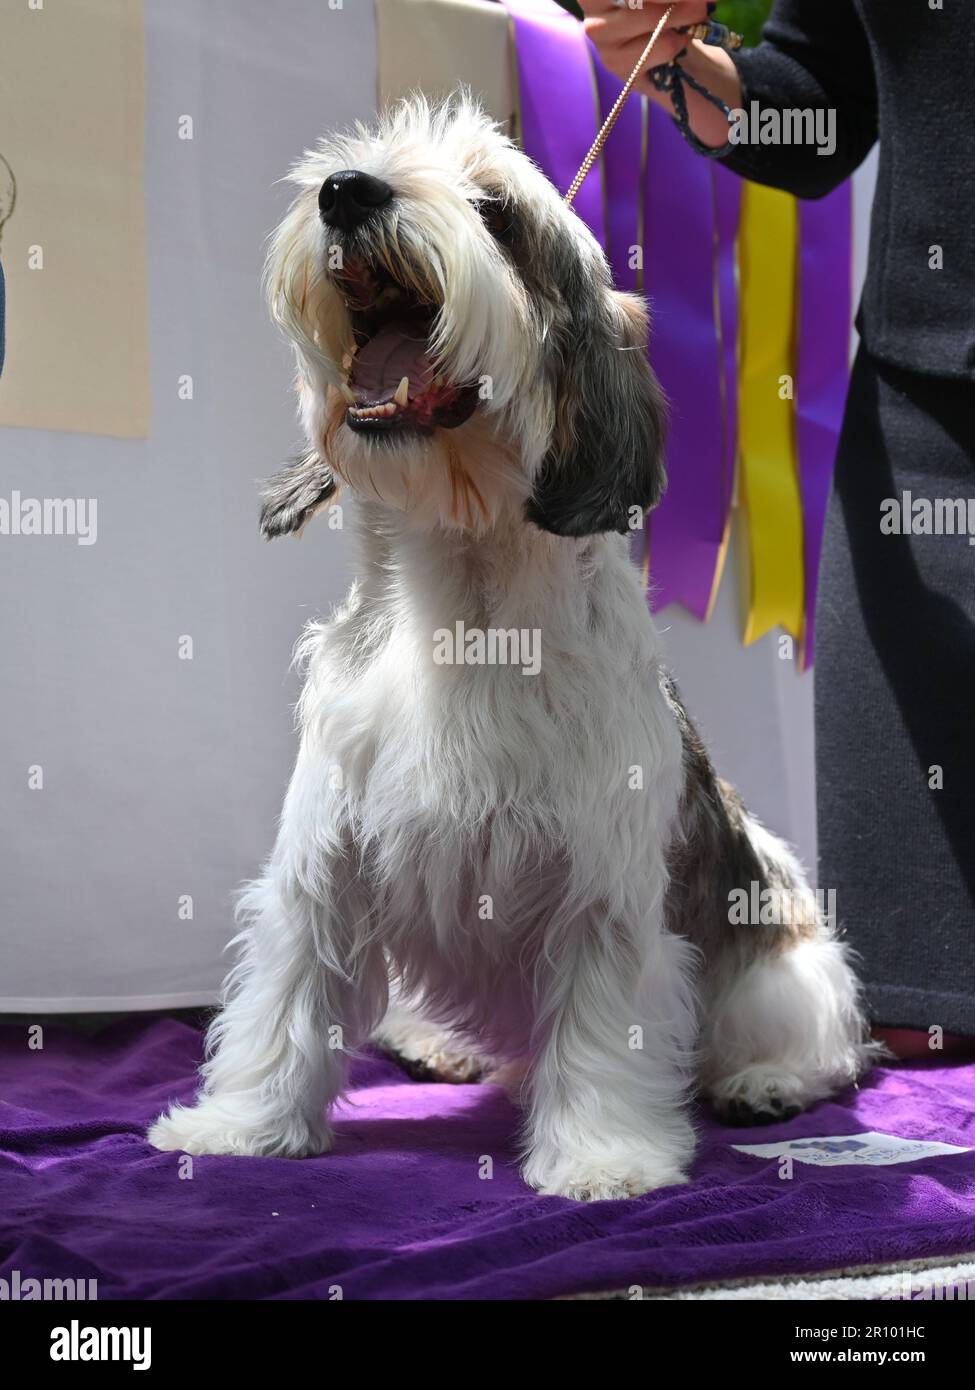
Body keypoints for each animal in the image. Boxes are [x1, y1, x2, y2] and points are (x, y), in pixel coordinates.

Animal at [146, 97, 873, 1200]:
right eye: (366, 160)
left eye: (496, 211)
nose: (345, 191)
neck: (461, 605)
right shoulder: (321, 873)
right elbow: (285, 998)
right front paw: (240, 1125)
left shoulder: (601, 897)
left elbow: (603, 1031)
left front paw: (604, 1156)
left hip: (785, 963)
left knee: (812, 1041)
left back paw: (764, 1082)